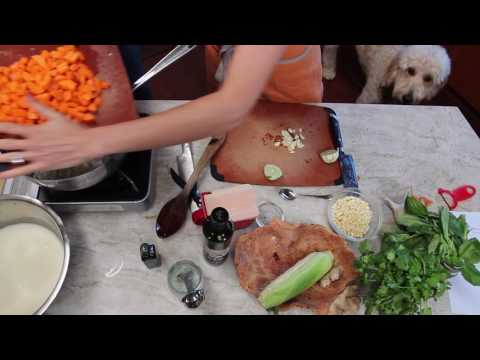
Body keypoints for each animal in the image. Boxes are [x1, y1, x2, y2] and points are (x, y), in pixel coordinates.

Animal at [322, 45, 450, 105]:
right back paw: (328, 70)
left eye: (428, 79)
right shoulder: (370, 94)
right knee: (329, 50)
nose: (407, 98)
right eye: (410, 70)